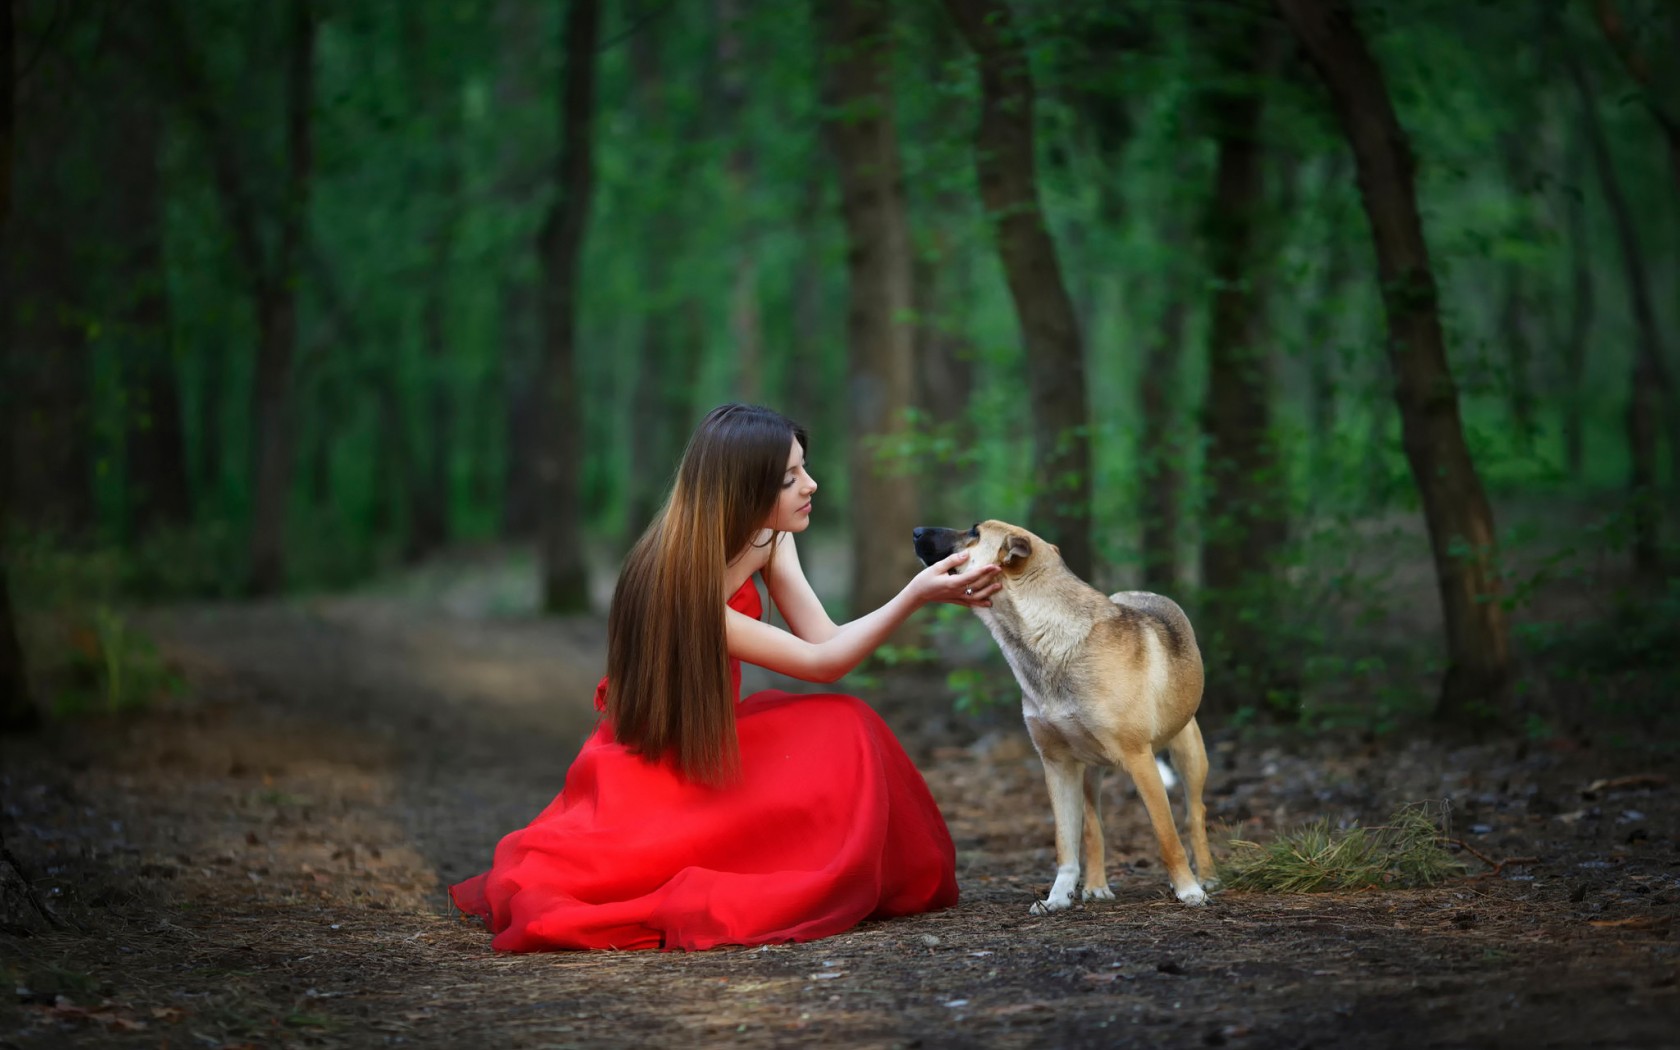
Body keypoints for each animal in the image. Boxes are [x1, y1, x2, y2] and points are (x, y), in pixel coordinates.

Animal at [913, 520, 1216, 907]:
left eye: (974, 533)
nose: (916, 531)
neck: (1045, 638)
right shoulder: (1057, 764)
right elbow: (1066, 842)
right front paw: (1057, 897)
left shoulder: (1140, 759)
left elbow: (1167, 834)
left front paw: (1188, 889)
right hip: (1090, 772)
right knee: (1094, 826)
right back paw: (1096, 885)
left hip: (1188, 751)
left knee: (1194, 814)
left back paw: (1206, 877)